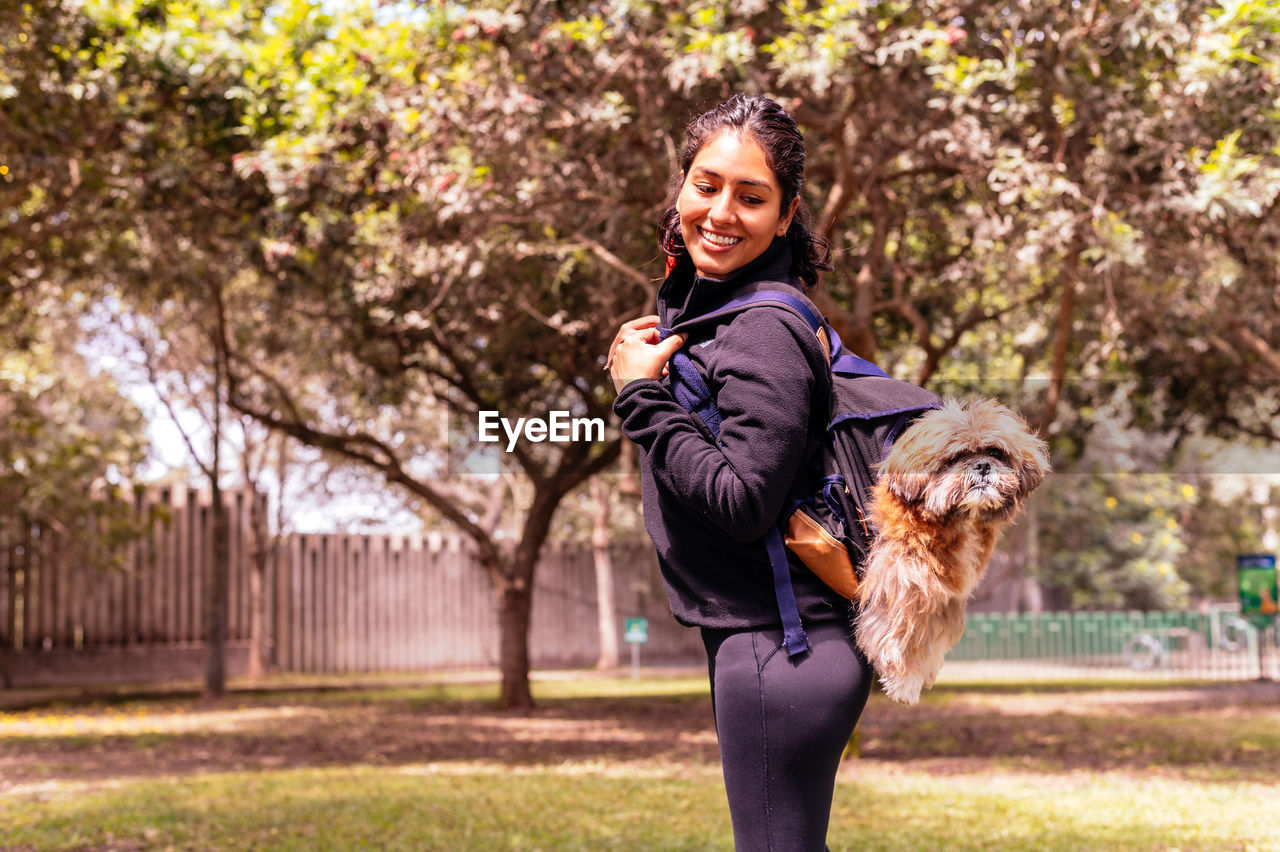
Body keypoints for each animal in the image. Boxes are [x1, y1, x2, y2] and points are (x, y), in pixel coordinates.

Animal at [860, 399, 1049, 701]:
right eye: (954, 458)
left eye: (995, 452)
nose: (982, 465)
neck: (954, 520)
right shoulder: (902, 576)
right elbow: (899, 629)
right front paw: (904, 679)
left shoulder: (944, 592)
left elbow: (930, 633)